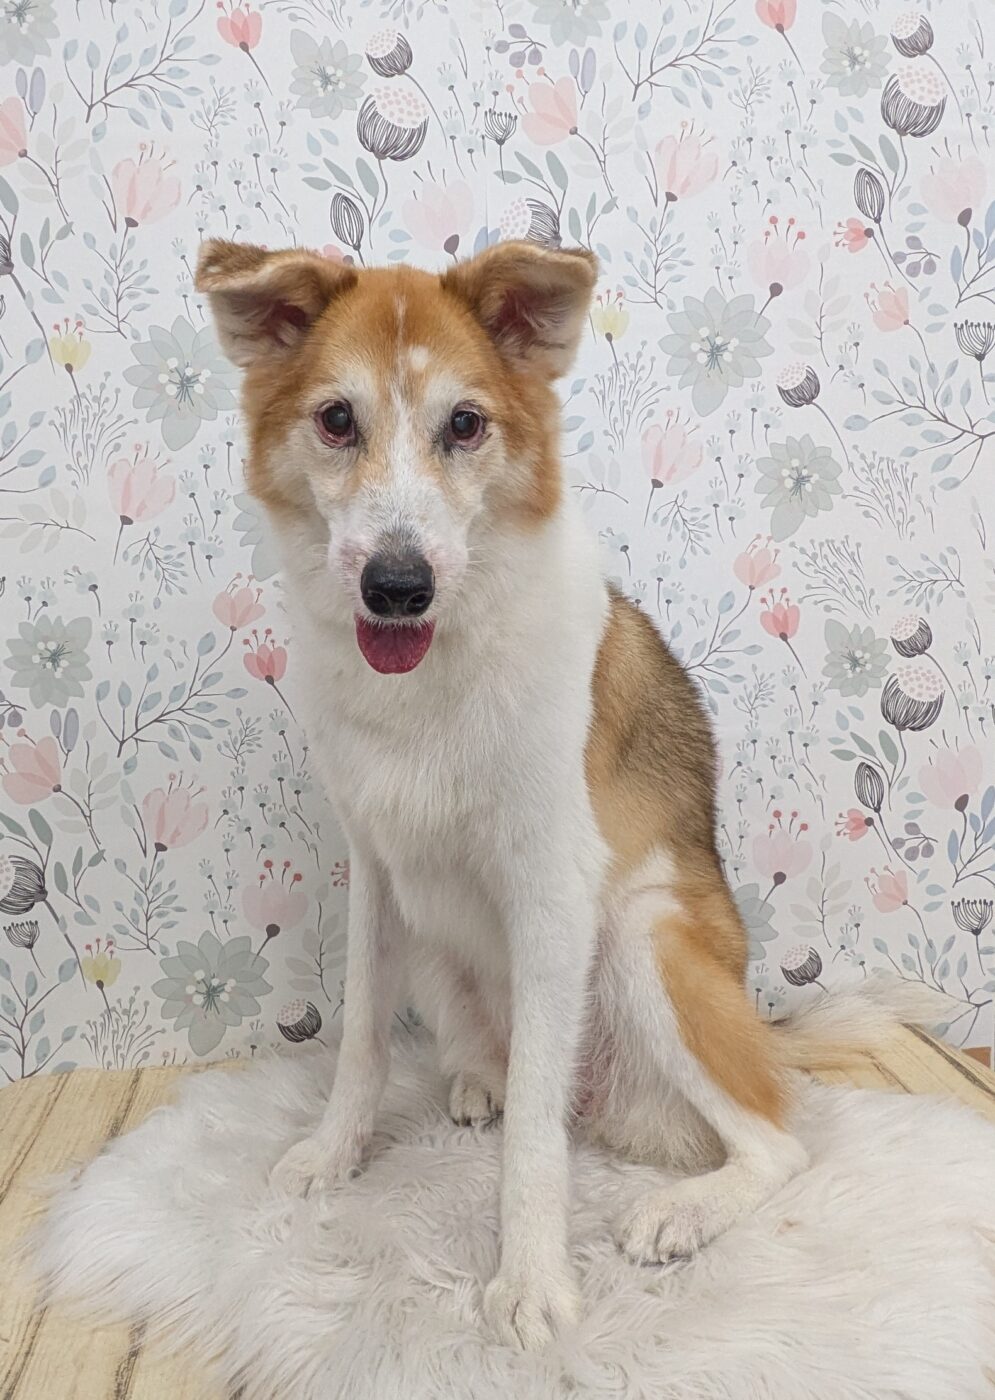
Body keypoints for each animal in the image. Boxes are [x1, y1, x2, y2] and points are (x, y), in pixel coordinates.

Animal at [195, 238, 811, 1351]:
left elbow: (534, 1129)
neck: (435, 669)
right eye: (336, 419)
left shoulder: (552, 892)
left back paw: (681, 1208)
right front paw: (333, 1153)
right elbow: (360, 1041)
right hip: (440, 946)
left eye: (464, 425)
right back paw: (475, 1079)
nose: (397, 586)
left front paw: (527, 1277)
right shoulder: (376, 873)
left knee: (773, 1139)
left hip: (642, 939)